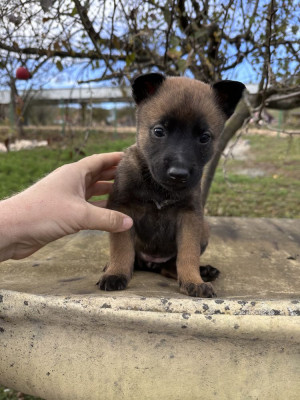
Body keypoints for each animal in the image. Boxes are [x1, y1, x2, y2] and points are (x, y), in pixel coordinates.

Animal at [97, 73, 245, 296]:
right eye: (159, 131)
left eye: (204, 137)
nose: (178, 174)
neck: (159, 189)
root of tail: (151, 263)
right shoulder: (122, 210)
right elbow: (122, 248)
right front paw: (116, 273)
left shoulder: (190, 217)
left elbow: (188, 254)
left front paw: (193, 280)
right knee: (135, 259)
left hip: (204, 228)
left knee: (170, 266)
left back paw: (202, 272)